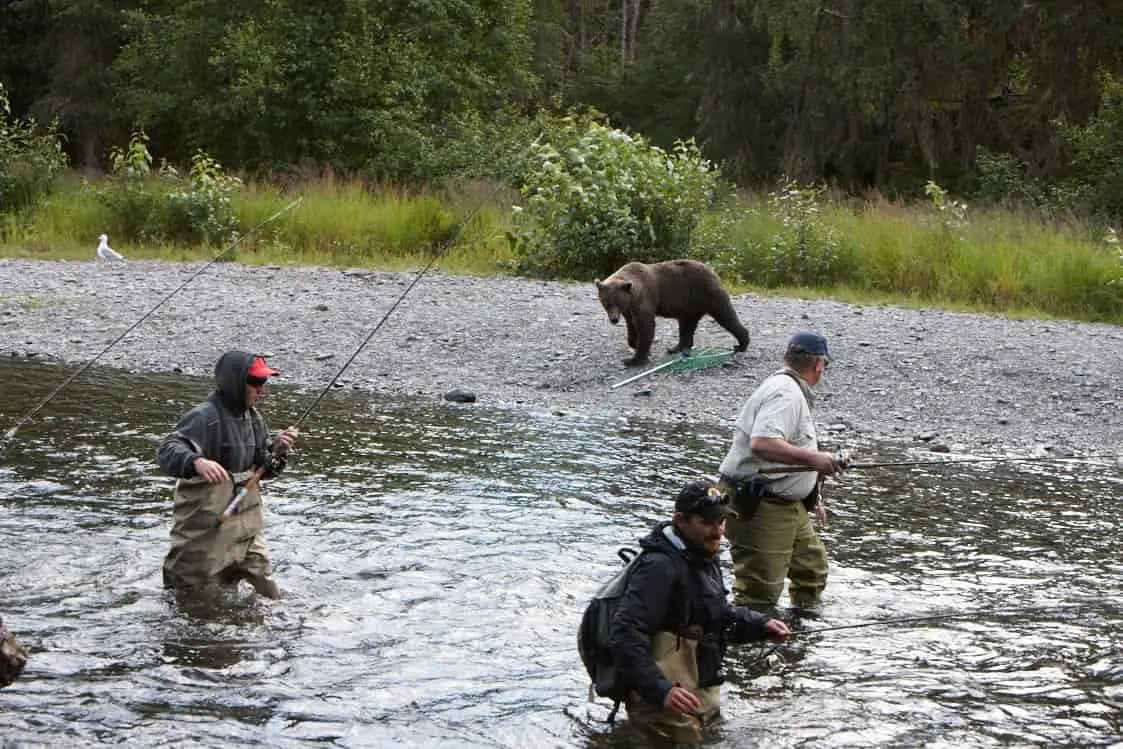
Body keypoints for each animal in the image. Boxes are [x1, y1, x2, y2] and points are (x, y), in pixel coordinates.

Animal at [592, 259, 750, 368]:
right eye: (606, 302)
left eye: (617, 302)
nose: (613, 319)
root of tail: (714, 272)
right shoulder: (629, 310)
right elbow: (632, 326)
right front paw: (635, 345)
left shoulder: (644, 301)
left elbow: (645, 326)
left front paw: (634, 360)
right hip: (690, 304)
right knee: (686, 325)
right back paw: (676, 348)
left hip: (707, 293)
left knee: (726, 316)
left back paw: (741, 344)